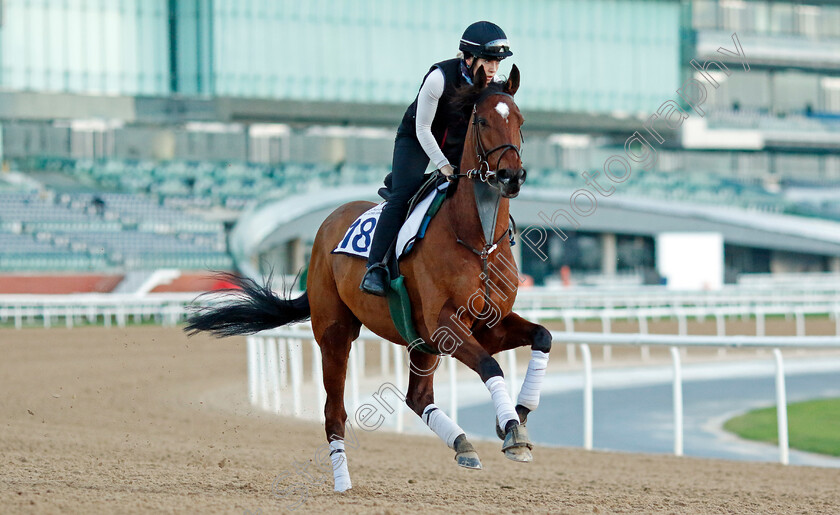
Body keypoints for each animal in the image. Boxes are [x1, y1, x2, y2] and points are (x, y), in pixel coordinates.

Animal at [185, 66, 552, 494]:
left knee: (417, 397)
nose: (511, 175)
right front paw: (512, 430)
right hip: (335, 332)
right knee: (334, 411)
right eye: (481, 120)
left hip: (418, 341)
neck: (478, 240)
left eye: (520, 121)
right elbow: (491, 367)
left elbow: (542, 337)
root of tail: (327, 223)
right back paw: (343, 482)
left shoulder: (484, 325)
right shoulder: (446, 323)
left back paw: (462, 444)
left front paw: (518, 415)